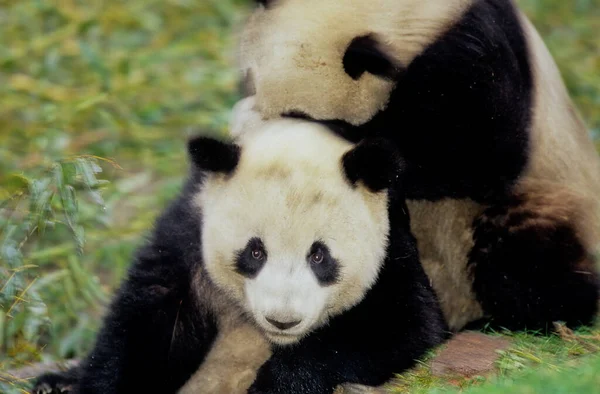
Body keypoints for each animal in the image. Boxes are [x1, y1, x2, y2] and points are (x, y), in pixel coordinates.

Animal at [30, 117, 448, 394]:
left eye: (319, 257)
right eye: (255, 251)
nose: (283, 320)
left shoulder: (391, 247)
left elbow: (402, 323)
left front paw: (271, 385)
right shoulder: (189, 233)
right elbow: (147, 326)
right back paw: (55, 384)